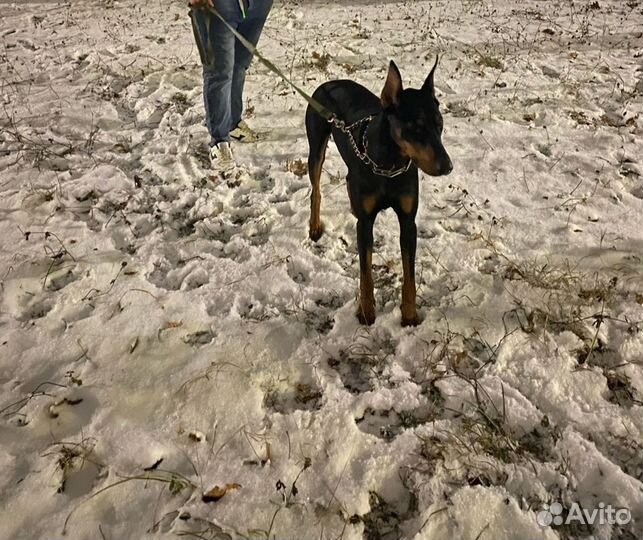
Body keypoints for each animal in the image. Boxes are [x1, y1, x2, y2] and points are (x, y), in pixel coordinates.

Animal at [306, 60, 452, 326]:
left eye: (440, 124)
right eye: (414, 127)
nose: (447, 166)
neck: (390, 165)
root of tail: (329, 84)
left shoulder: (408, 221)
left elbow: (409, 275)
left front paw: (410, 315)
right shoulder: (365, 224)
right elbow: (366, 273)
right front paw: (366, 312)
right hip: (316, 145)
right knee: (316, 189)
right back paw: (314, 226)